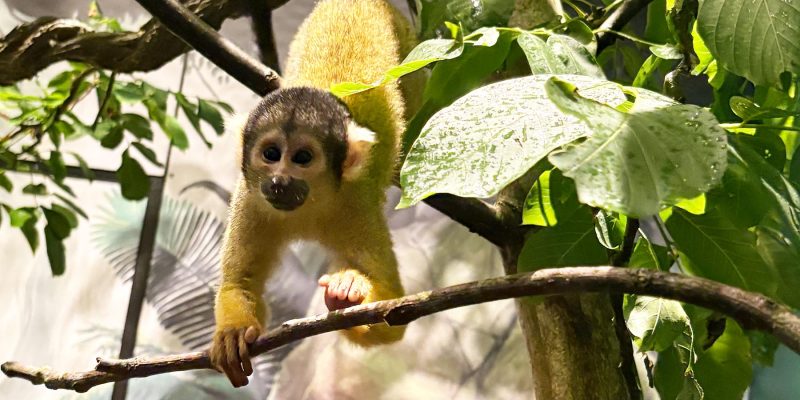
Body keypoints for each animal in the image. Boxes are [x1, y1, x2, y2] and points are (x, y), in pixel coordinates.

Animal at [209, 0, 421, 387]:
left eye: (303, 158)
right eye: (271, 154)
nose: (280, 181)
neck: (307, 207)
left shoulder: (356, 204)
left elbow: (394, 313)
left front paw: (346, 294)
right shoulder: (250, 198)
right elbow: (239, 282)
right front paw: (232, 334)